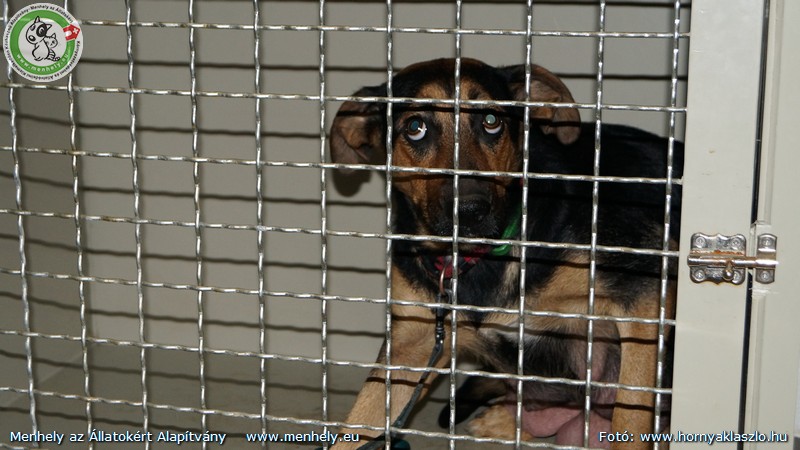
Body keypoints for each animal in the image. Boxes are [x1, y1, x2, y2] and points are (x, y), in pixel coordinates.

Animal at [329, 58, 681, 449]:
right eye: (415, 127)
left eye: (491, 121)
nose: (470, 210)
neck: (476, 260)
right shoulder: (412, 344)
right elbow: (357, 424)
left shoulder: (642, 299)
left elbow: (631, 413)